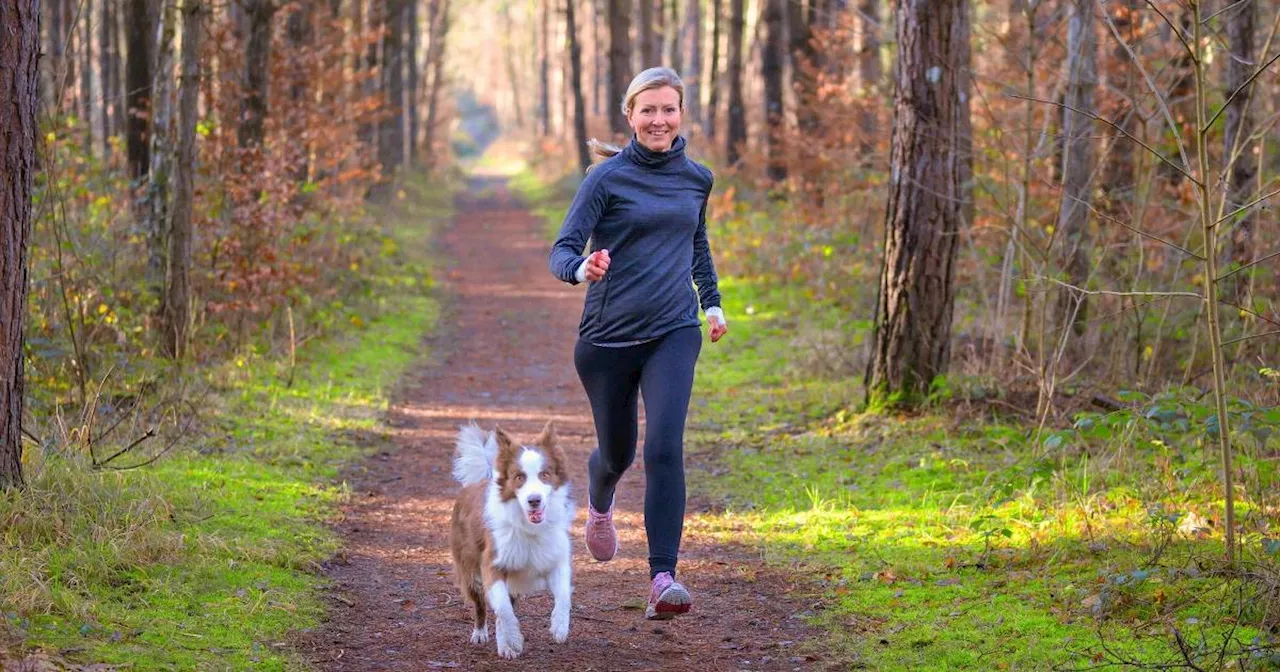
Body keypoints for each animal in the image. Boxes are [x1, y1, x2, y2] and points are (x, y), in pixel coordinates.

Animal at [448, 422, 573, 655]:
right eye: (519, 477)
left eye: (545, 474)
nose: (534, 500)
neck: (529, 527)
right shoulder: (492, 564)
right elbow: (503, 609)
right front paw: (513, 640)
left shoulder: (554, 559)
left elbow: (563, 596)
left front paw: (559, 627)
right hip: (470, 569)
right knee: (482, 605)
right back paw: (482, 634)